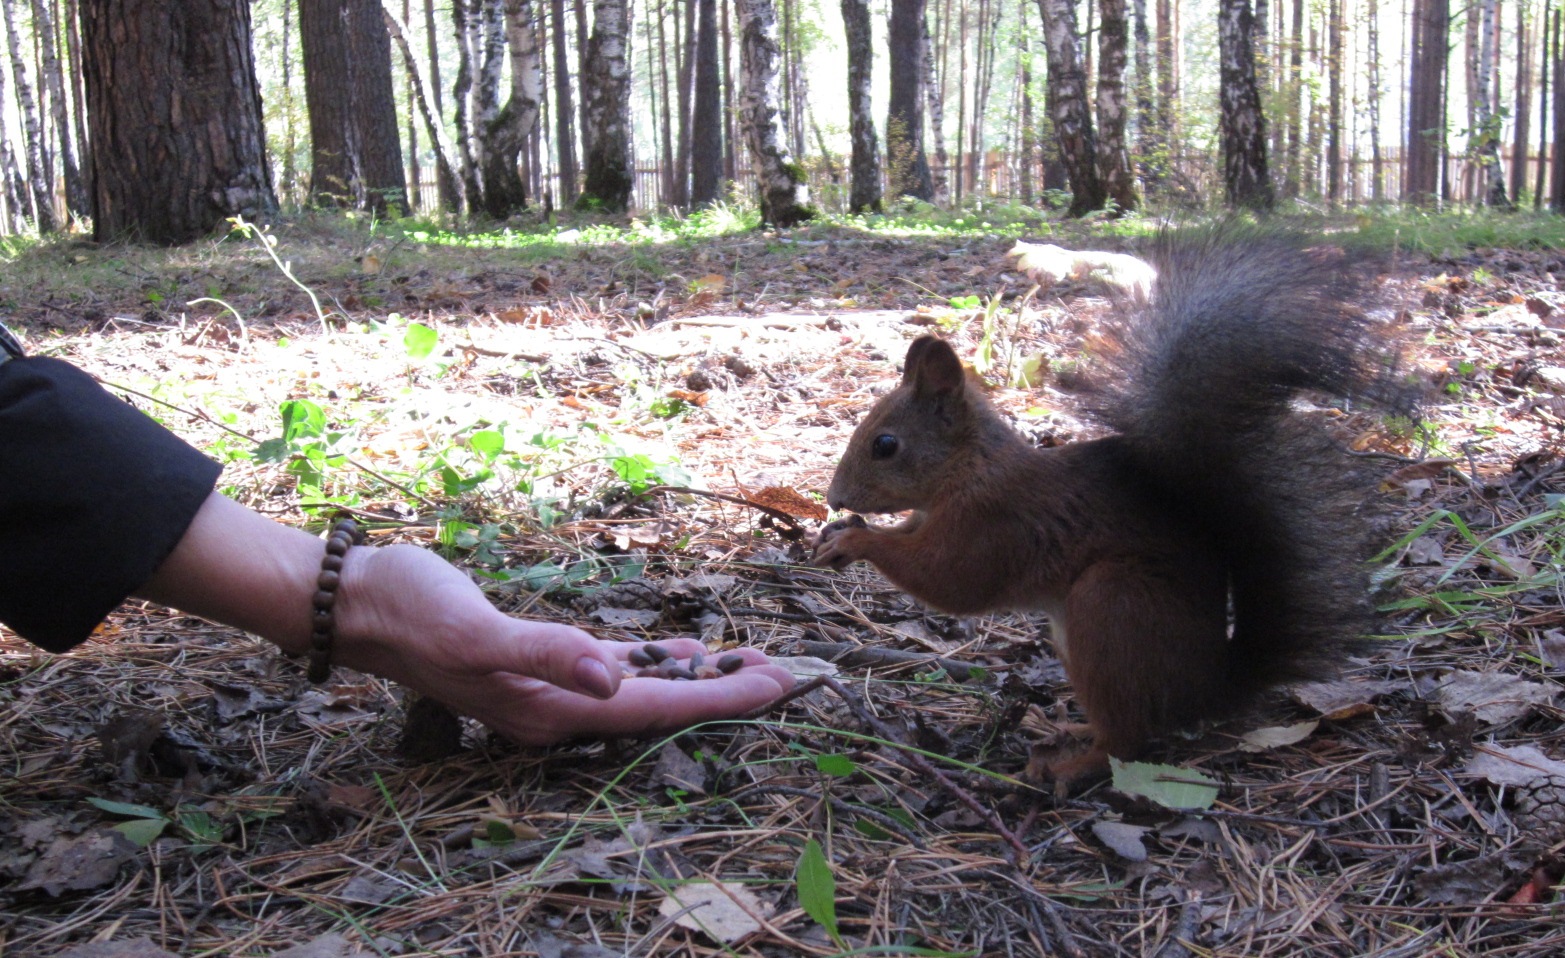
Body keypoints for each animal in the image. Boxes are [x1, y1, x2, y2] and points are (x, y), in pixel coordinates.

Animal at [813, 228, 1402, 788]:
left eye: (885, 445)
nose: (834, 498)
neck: (966, 470)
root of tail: (1207, 691)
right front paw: (838, 533)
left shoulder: (996, 520)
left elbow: (951, 580)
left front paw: (855, 539)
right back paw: (1067, 728)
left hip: (1112, 607)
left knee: (1129, 741)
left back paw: (1072, 767)